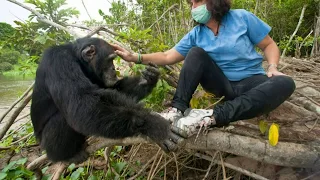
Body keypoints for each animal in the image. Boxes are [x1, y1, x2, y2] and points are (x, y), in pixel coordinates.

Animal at [31, 37, 186, 163]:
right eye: (110, 59)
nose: (113, 68)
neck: (78, 59)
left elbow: (112, 91)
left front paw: (148, 79)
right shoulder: (58, 61)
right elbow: (83, 103)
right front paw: (155, 125)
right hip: (47, 145)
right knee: (60, 119)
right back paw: (67, 156)